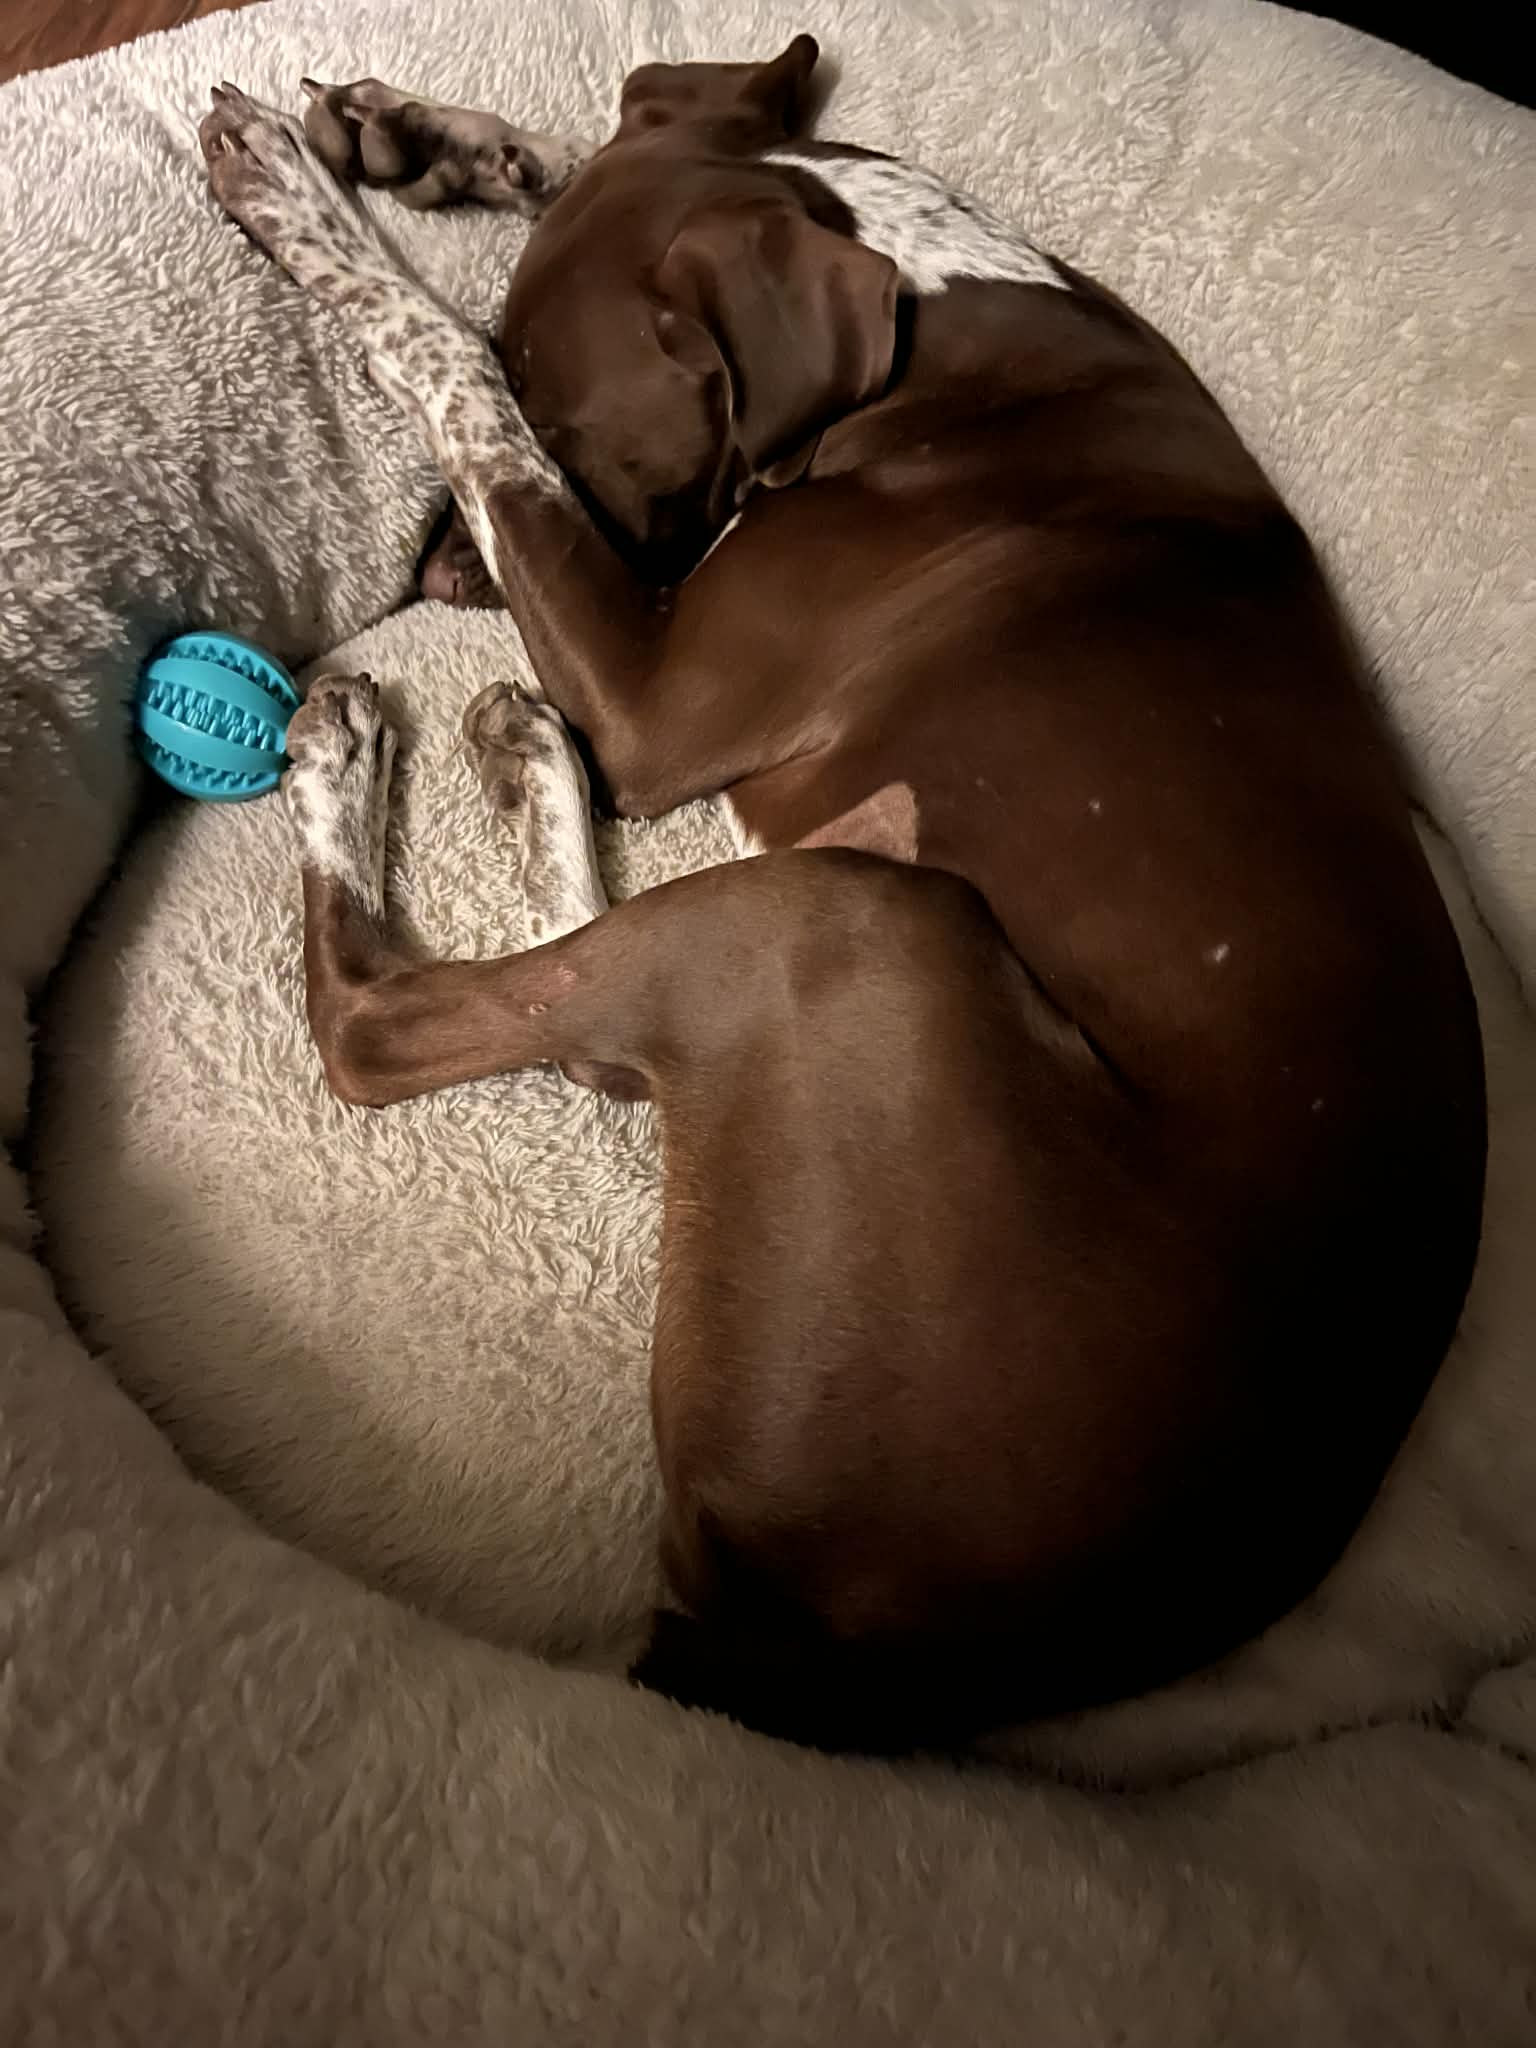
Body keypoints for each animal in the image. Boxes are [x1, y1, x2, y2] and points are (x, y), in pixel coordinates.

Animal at [198, 37, 1485, 1752]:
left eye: (580, 421)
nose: (422, 575)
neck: (937, 342)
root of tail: (817, 1670)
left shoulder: (654, 701)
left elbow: (459, 389)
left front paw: (308, 202)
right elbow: (634, 131)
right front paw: (422, 145)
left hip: (854, 928)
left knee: (405, 1030)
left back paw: (354, 764)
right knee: (585, 1017)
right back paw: (516, 755)